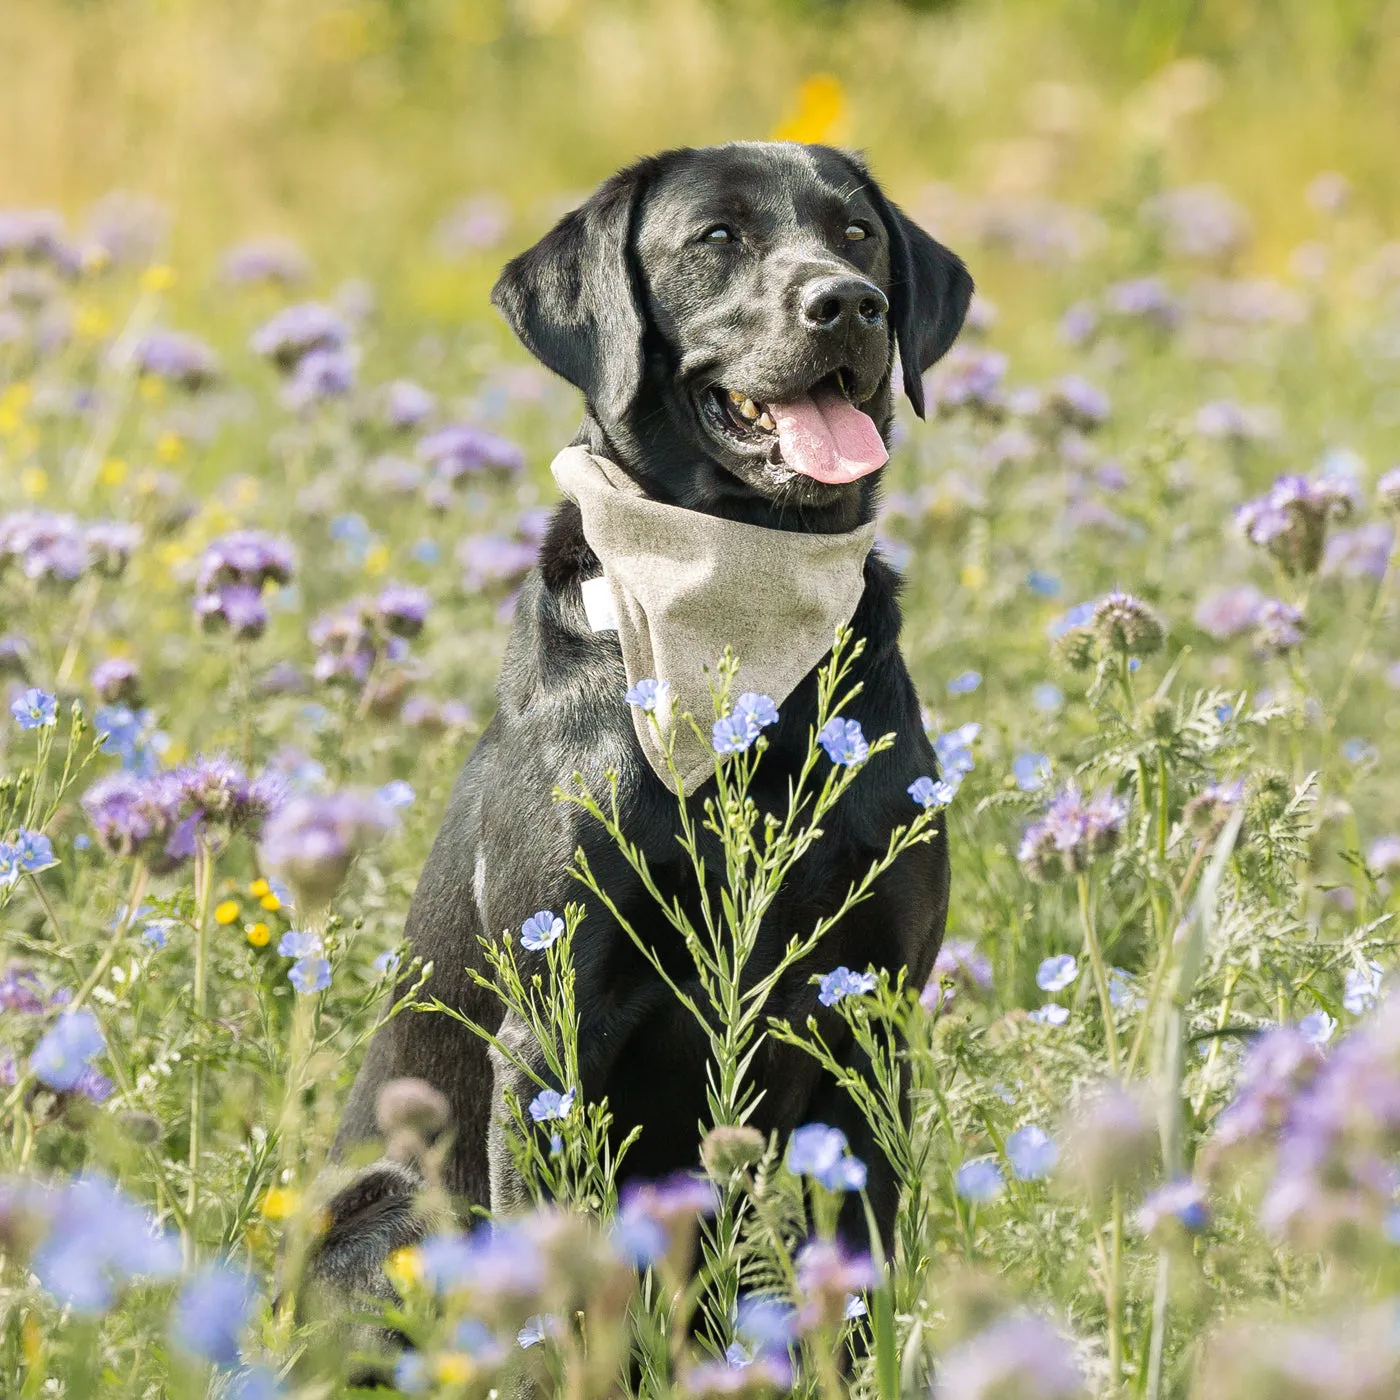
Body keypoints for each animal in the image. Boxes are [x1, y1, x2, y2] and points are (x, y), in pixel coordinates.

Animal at [322, 142, 968, 1288]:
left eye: (857, 233)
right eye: (716, 238)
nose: (850, 303)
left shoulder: (871, 1015)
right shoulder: (549, 1034)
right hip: (392, 1213)